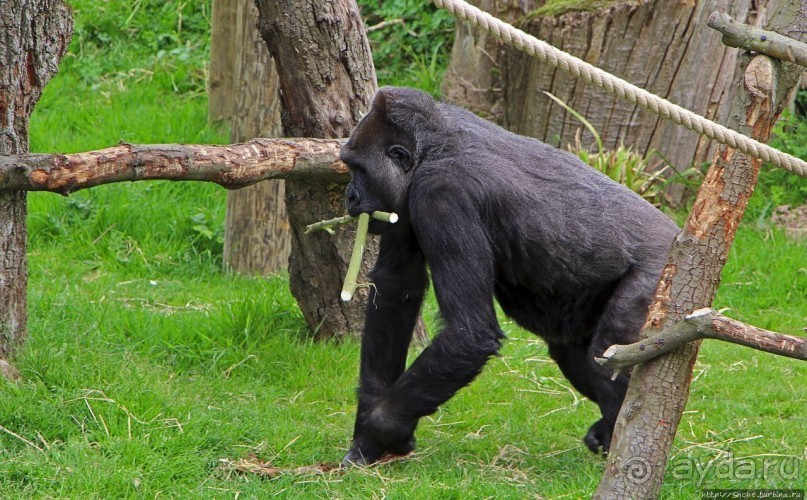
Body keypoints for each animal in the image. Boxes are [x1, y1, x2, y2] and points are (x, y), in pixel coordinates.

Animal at [338, 86, 680, 464]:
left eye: (358, 169)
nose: (349, 197)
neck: (433, 147)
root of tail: (682, 235)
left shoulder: (441, 194)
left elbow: (468, 332)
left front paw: (385, 427)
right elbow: (396, 289)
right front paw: (367, 432)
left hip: (661, 272)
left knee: (609, 351)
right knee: (578, 356)